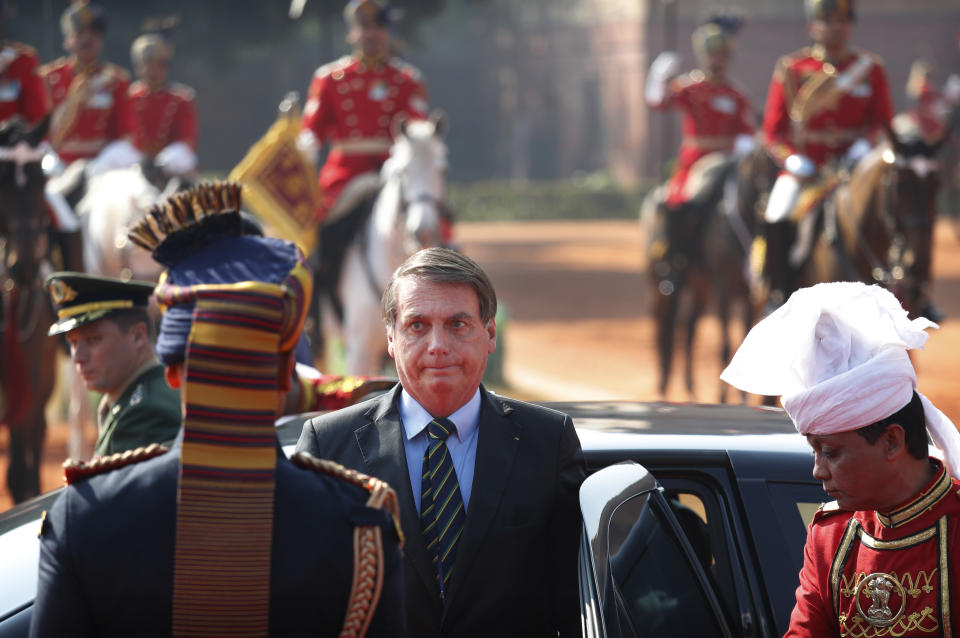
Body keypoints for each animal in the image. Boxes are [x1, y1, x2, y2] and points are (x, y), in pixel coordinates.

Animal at [644, 155, 756, 402]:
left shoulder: (751, 294)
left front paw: (742, 395)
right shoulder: (724, 287)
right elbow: (726, 342)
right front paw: (723, 397)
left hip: (701, 288)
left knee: (689, 327)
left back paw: (690, 387)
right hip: (657, 282)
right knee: (663, 322)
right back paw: (663, 384)